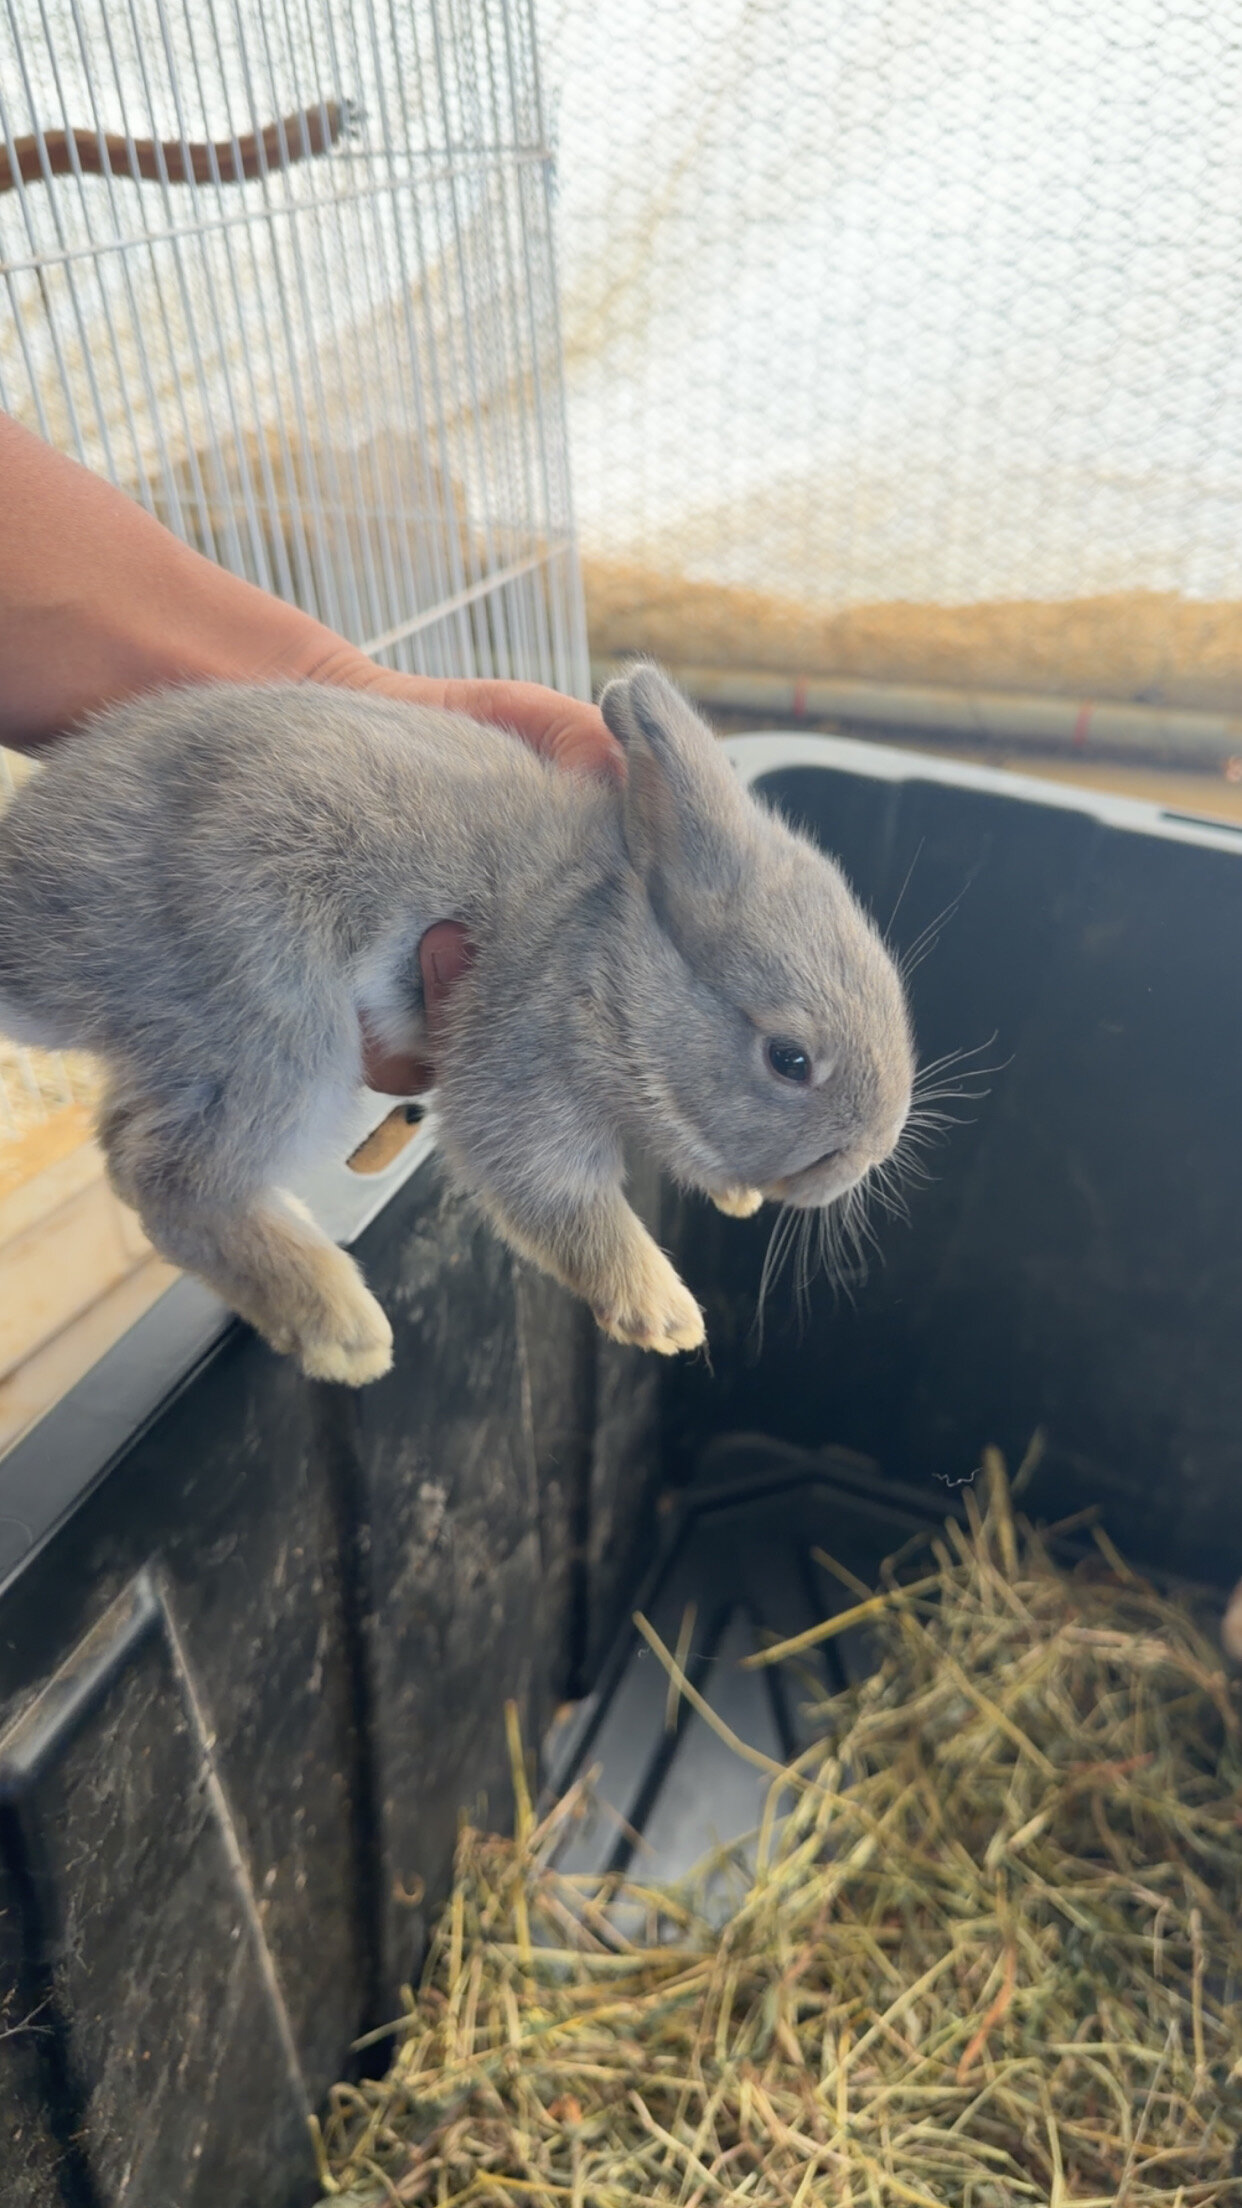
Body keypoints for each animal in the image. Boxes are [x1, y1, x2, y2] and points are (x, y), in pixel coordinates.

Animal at [0, 663, 915, 1384]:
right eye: (789, 1059)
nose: (868, 1156)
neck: (607, 949)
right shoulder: (519, 1059)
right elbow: (561, 1199)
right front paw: (664, 1316)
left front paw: (732, 1200)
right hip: (273, 1024)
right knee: (169, 1181)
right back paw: (343, 1327)